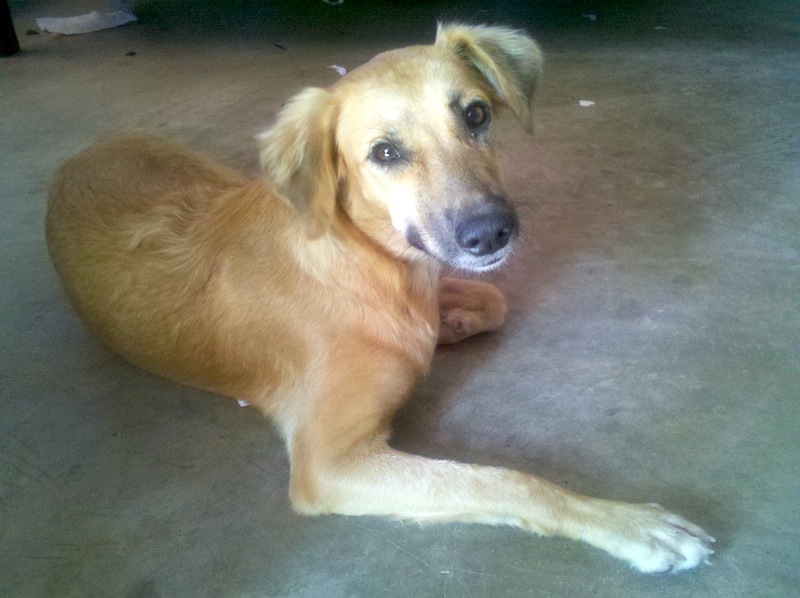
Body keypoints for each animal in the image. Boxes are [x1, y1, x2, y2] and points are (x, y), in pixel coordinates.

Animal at [46, 23, 714, 573]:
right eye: (385, 153)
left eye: (476, 114)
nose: (491, 233)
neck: (374, 265)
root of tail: (77, 157)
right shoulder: (329, 465)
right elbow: (502, 482)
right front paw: (628, 524)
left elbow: (492, 300)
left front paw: (454, 321)